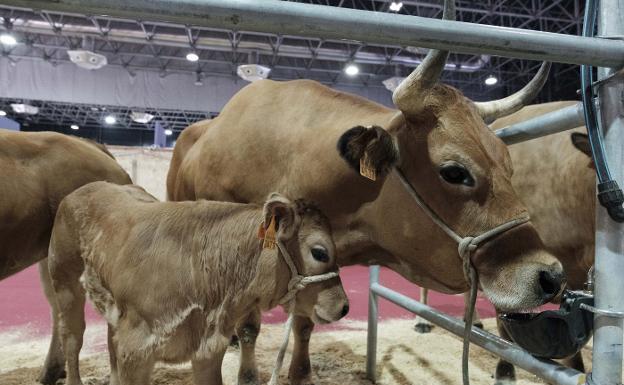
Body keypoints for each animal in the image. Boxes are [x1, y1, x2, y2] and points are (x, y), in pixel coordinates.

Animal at [47, 182, 352, 384]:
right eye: (320, 252)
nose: (344, 307)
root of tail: (84, 188)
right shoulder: (136, 350)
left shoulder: (208, 349)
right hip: (65, 285)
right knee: (72, 339)